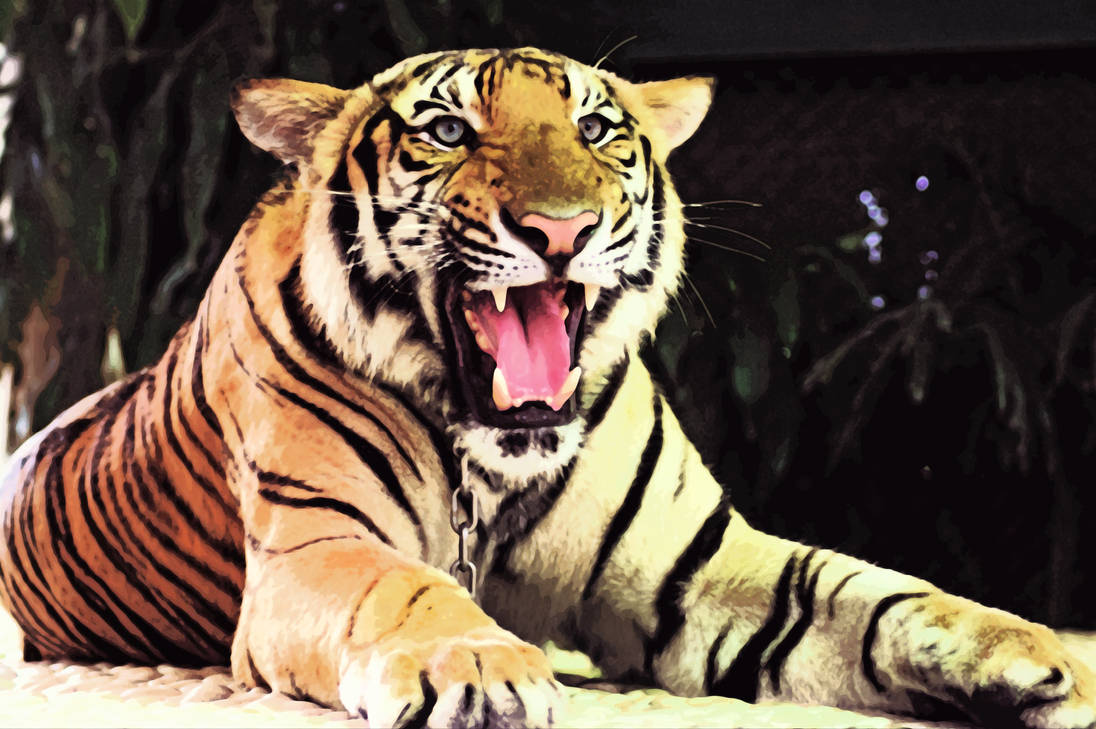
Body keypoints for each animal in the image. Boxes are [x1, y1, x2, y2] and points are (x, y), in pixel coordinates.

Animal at [1, 46, 1093, 729]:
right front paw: (477, 664)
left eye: (599, 130)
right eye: (447, 131)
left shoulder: (696, 568)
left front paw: (1046, 658)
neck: (488, 462)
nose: (562, 228)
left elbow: (868, 590)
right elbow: (407, 585)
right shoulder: (316, 549)